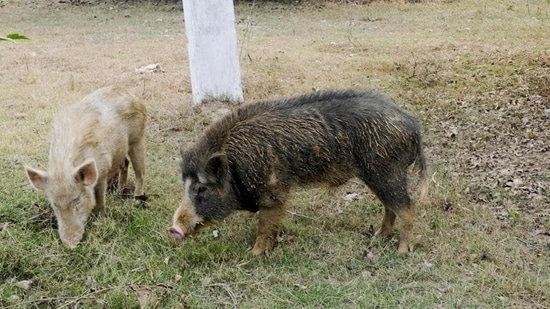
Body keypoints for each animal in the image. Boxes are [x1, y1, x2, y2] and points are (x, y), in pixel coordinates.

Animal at [24, 86, 148, 248]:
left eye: (77, 199)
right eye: (55, 204)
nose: (70, 244)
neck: (64, 168)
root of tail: (132, 94)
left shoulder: (102, 172)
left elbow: (100, 198)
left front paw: (100, 219)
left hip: (138, 139)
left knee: (140, 172)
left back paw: (137, 200)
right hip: (121, 149)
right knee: (125, 163)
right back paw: (118, 192)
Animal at [170, 88, 430, 253]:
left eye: (201, 187)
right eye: (184, 185)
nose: (173, 229)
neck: (235, 166)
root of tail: (413, 125)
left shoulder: (274, 191)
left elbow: (265, 226)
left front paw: (253, 255)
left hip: (388, 172)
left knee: (407, 208)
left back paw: (402, 251)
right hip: (378, 175)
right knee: (390, 207)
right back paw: (377, 237)